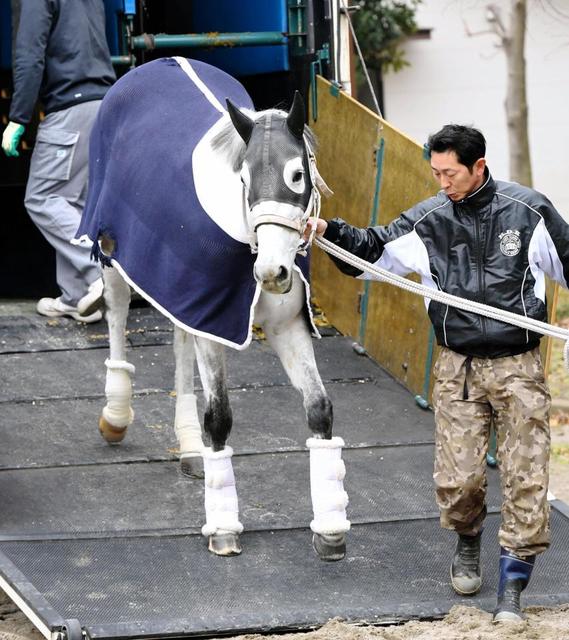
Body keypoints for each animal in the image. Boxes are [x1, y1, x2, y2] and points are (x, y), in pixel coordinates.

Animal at [74, 57, 350, 560]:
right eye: (243, 180)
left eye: (297, 174)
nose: (273, 273)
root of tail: (156, 63)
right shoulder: (213, 321)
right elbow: (219, 417)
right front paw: (223, 528)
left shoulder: (285, 326)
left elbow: (319, 407)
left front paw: (330, 529)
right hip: (110, 247)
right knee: (118, 312)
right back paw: (116, 417)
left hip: (181, 287)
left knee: (179, 337)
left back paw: (188, 446)